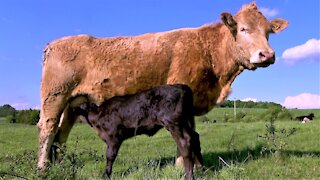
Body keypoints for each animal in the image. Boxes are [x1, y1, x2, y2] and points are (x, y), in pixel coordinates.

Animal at [36, 2, 288, 169]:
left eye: (268, 32)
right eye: (243, 29)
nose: (267, 54)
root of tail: (55, 43)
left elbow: (191, 132)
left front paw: (195, 165)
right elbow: (185, 133)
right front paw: (182, 165)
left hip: (73, 103)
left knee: (62, 133)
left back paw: (59, 165)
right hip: (54, 96)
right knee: (47, 129)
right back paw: (42, 168)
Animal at [72, 84, 202, 180]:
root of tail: (182, 86)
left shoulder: (113, 137)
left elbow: (110, 156)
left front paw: (106, 175)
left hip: (173, 123)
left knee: (185, 141)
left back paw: (189, 176)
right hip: (184, 121)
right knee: (194, 136)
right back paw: (201, 168)